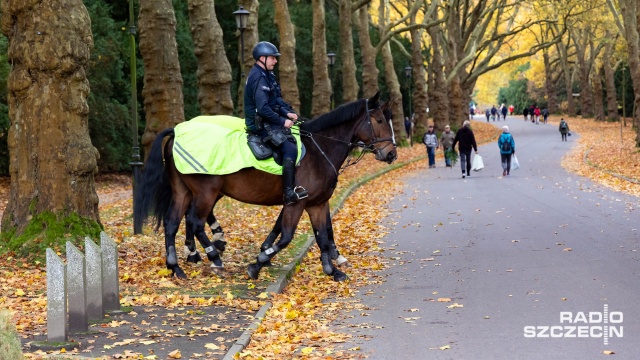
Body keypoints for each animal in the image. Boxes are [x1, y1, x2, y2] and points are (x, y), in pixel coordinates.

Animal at [134, 92, 396, 282]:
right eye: (379, 120)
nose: (391, 154)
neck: (318, 150)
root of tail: (177, 131)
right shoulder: (296, 202)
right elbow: (287, 236)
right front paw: (258, 262)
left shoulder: (317, 204)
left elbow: (322, 234)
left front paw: (334, 269)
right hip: (206, 192)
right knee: (194, 222)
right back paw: (214, 257)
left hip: (184, 192)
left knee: (172, 223)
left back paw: (176, 267)